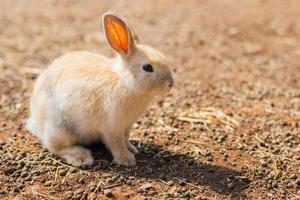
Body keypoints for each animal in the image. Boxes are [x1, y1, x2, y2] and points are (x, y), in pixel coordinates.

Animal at [26, 11, 175, 167]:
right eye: (148, 67)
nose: (171, 83)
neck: (124, 82)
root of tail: (35, 121)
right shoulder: (112, 128)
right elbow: (116, 144)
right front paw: (127, 160)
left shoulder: (126, 127)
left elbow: (126, 139)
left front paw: (133, 149)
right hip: (60, 128)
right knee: (54, 147)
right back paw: (81, 157)